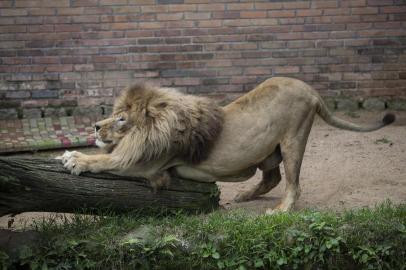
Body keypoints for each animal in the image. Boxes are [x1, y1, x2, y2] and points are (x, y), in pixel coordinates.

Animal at [58, 76, 396, 213]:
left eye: (121, 118)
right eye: (113, 113)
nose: (95, 127)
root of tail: (311, 90)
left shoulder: (149, 163)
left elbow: (105, 160)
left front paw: (75, 157)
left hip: (293, 138)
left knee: (293, 184)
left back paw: (281, 210)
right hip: (269, 150)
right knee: (271, 177)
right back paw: (244, 196)